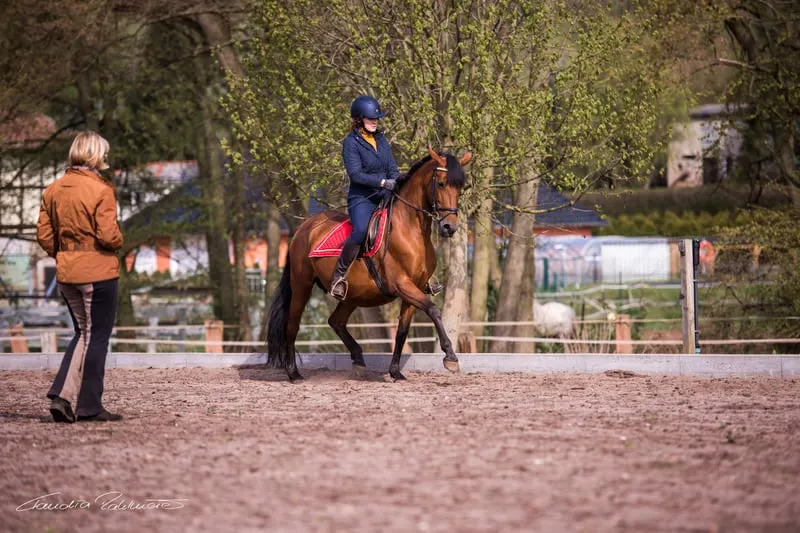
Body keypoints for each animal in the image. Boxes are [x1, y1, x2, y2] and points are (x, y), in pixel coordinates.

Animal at [266, 147, 473, 381]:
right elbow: (433, 310)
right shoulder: (401, 284)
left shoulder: (415, 288)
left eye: (461, 187)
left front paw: (395, 372)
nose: (449, 227)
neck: (411, 229)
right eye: (442, 184)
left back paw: (358, 358)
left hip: (353, 294)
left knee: (335, 321)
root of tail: (304, 228)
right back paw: (293, 373)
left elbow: (402, 331)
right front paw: (450, 357)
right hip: (302, 285)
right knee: (292, 325)